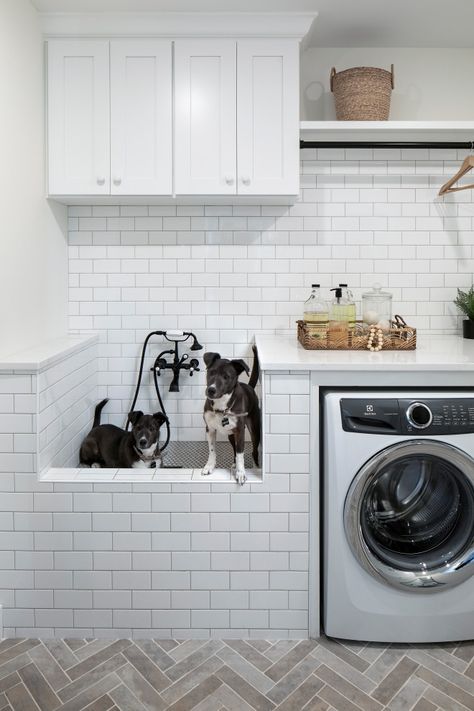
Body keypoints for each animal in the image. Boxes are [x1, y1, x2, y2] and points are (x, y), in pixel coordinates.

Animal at [202, 344, 262, 484]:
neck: (222, 406)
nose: (211, 390)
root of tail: (249, 387)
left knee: (254, 451)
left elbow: (240, 454)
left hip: (254, 431)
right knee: (234, 449)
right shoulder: (210, 429)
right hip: (230, 434)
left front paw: (241, 473)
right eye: (211, 372)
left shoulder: (240, 431)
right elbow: (212, 450)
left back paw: (256, 468)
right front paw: (209, 466)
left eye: (226, 377)